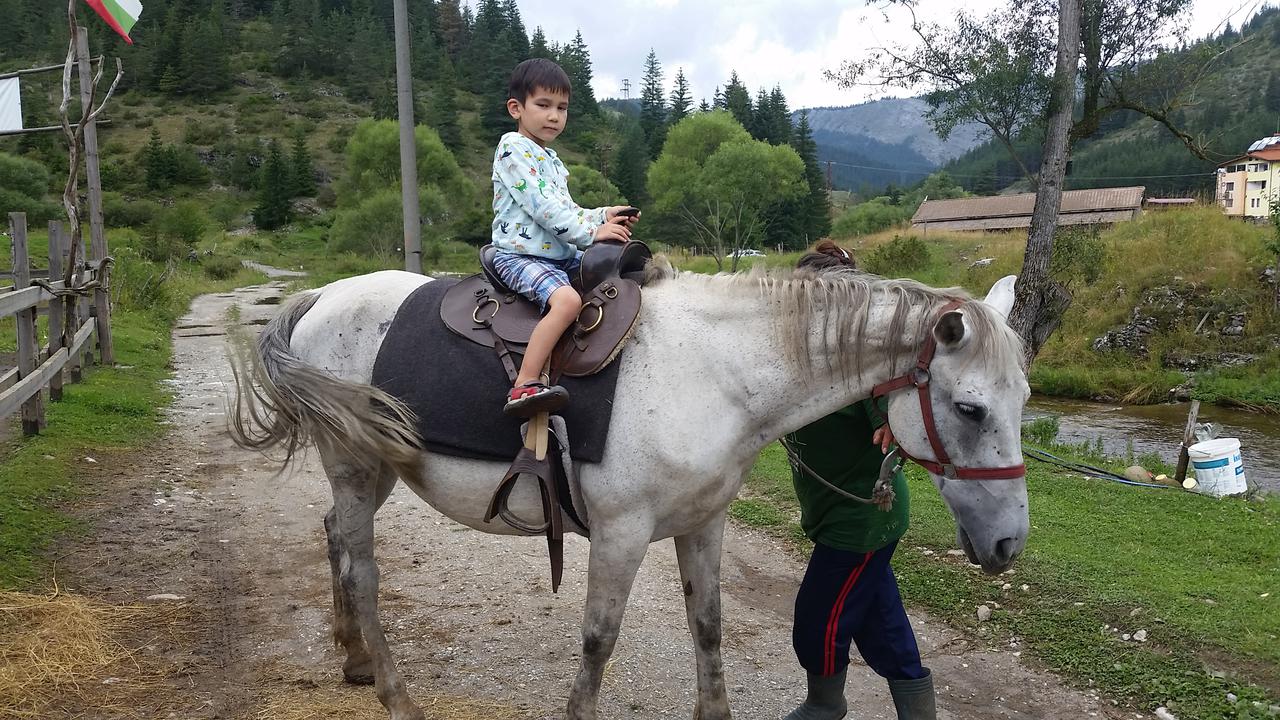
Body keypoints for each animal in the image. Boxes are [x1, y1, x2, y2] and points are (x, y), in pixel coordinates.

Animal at [227, 263, 1029, 717]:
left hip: (377, 471)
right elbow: (598, 640)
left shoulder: (703, 525)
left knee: (334, 536)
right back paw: (395, 692)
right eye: (970, 409)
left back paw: (355, 658)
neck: (714, 370)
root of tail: (321, 297)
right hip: (357, 467)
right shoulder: (620, 533)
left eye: (1023, 399)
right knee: (362, 569)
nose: (1008, 543)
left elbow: (707, 626)